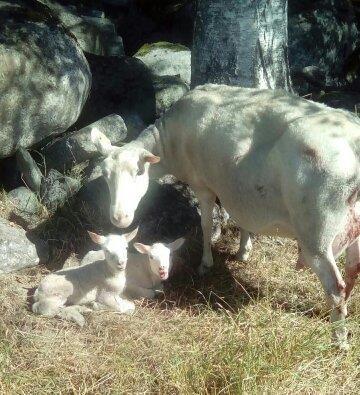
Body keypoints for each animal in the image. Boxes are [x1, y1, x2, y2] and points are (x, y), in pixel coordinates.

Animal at [90, 84, 360, 350]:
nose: (119, 218)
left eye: (139, 172)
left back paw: (339, 340)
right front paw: (243, 251)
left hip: (318, 230)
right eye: (105, 175)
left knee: (335, 286)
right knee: (352, 270)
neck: (169, 141)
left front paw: (206, 263)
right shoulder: (234, 188)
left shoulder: (203, 186)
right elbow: (241, 219)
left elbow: (206, 224)